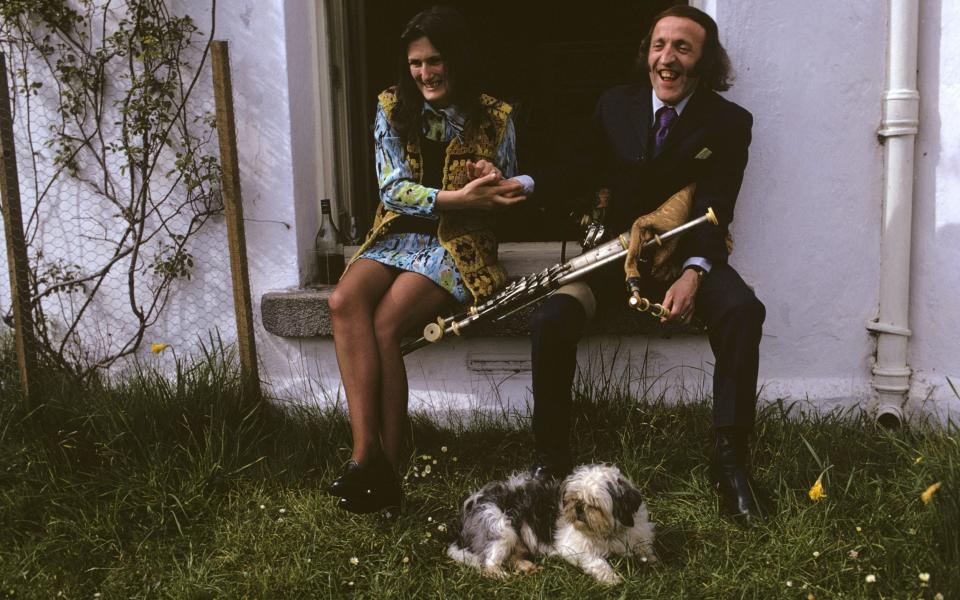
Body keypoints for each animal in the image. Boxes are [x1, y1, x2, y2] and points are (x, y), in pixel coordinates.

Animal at [446, 462, 656, 584]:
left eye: (594, 504)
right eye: (573, 499)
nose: (578, 508)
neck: (607, 532)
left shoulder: (638, 533)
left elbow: (644, 548)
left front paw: (651, 559)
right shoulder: (573, 547)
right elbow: (596, 560)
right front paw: (610, 577)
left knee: (512, 556)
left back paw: (526, 566)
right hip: (500, 527)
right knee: (488, 563)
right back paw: (500, 575)